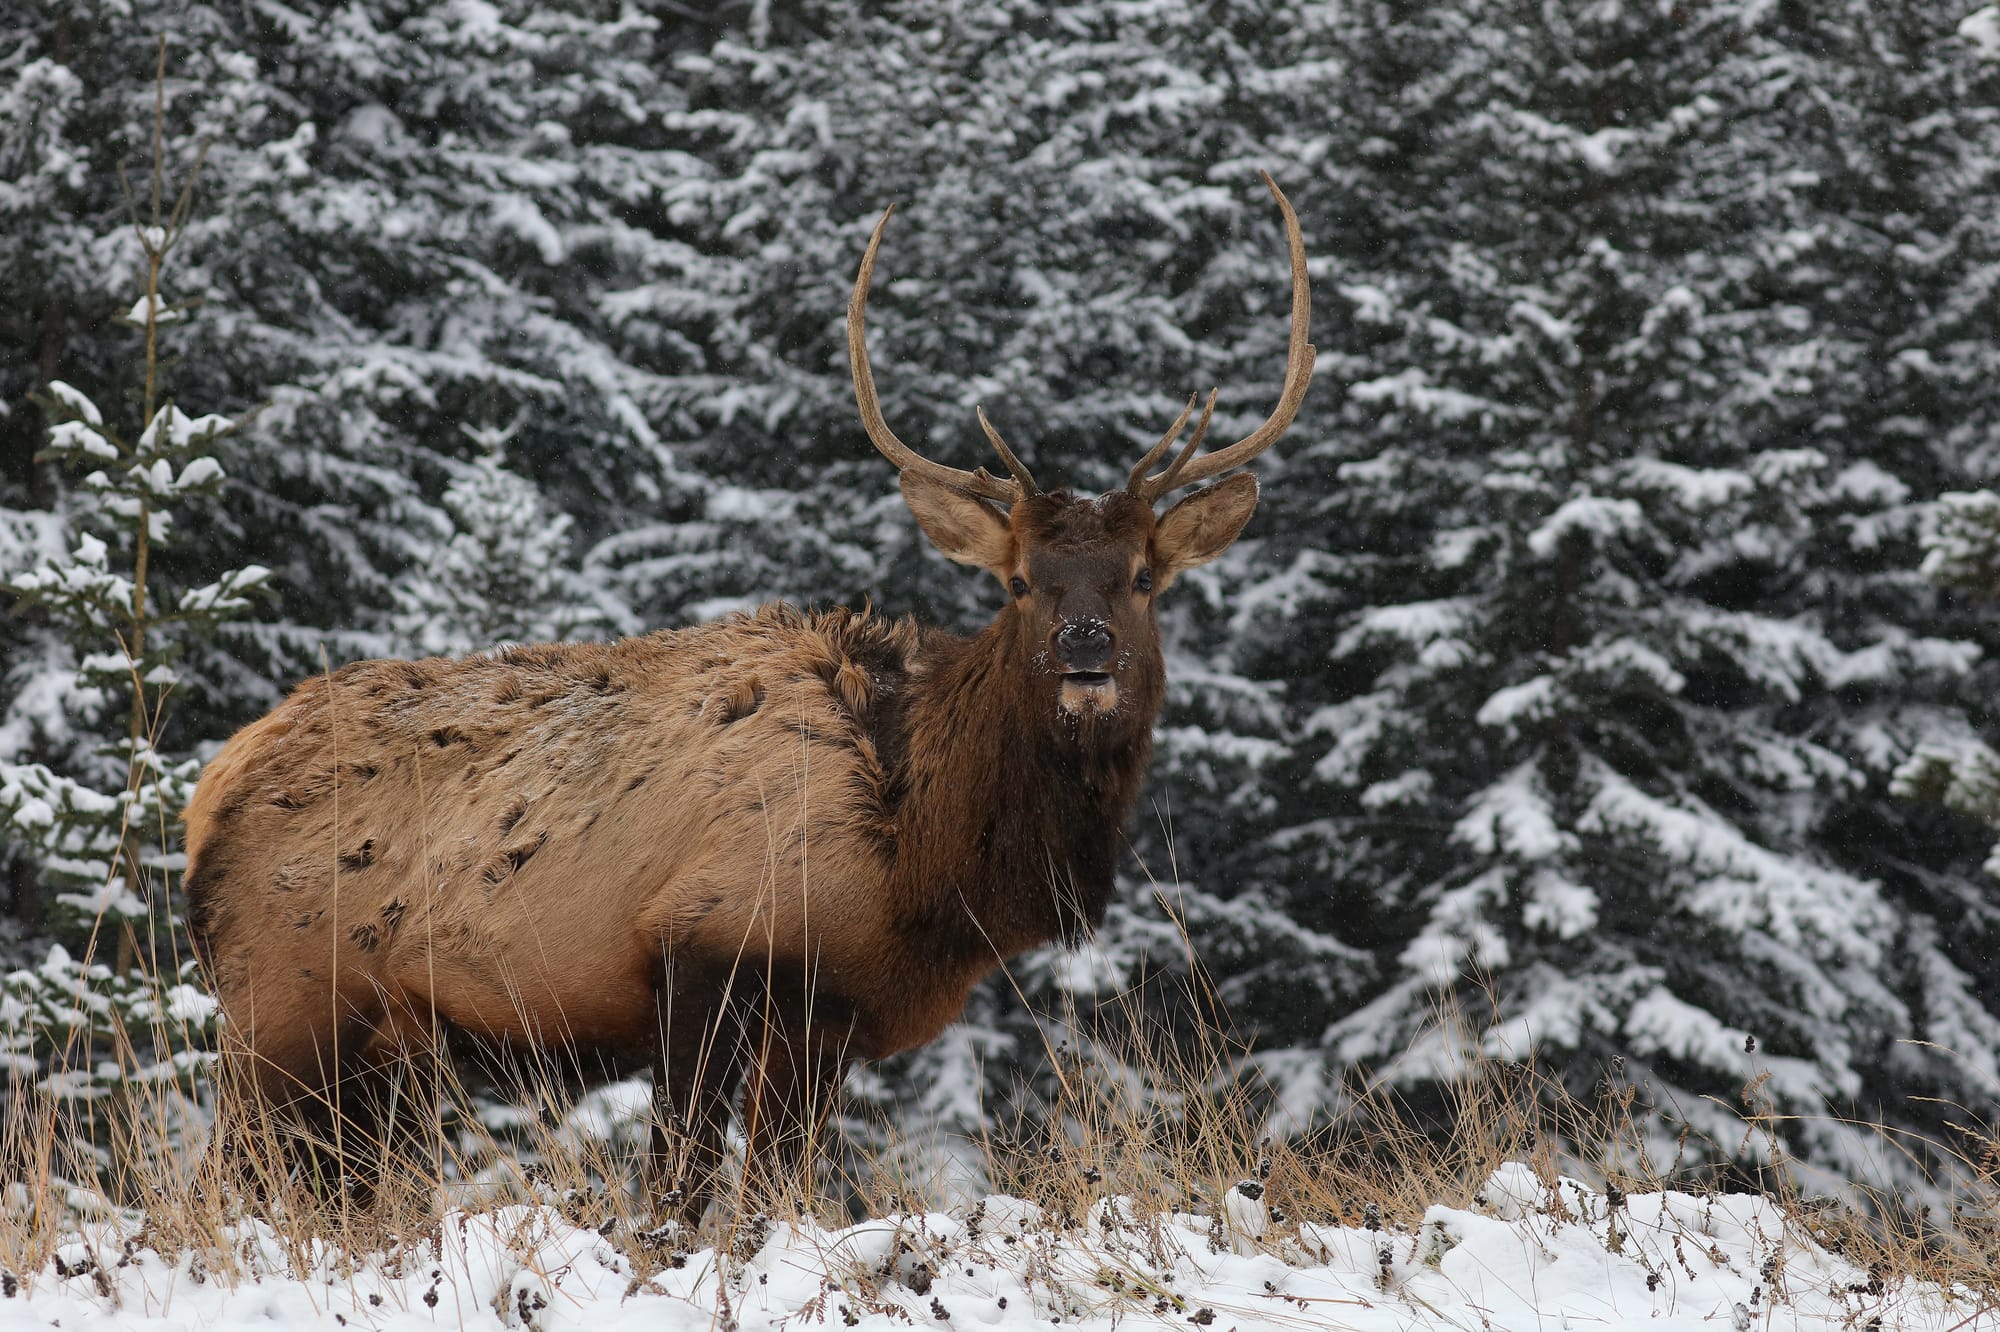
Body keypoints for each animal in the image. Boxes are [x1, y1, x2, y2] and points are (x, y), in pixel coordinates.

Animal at [184, 174, 1312, 1216]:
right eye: (1021, 581)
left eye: (1141, 577)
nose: (1085, 648)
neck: (921, 858)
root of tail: (210, 792)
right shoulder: (703, 946)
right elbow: (677, 1187)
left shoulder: (831, 1013)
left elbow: (778, 1187)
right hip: (282, 1003)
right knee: (227, 1181)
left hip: (373, 1057)